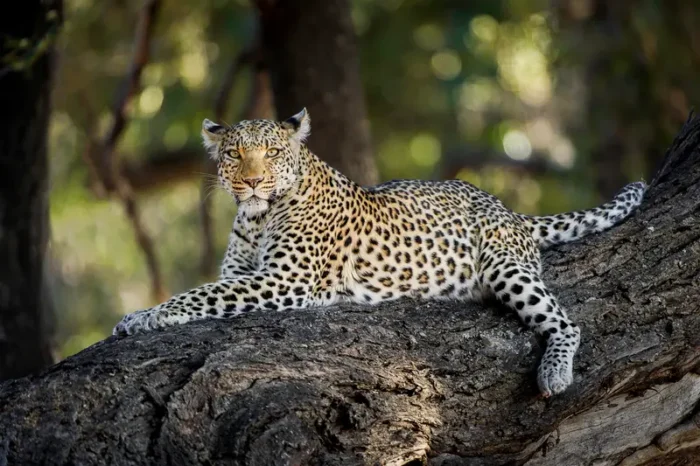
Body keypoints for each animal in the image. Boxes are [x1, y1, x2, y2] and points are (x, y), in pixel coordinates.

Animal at [113, 108, 647, 397]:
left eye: (271, 153)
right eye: (233, 154)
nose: (252, 182)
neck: (257, 217)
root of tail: (508, 209)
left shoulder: (285, 281)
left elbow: (198, 295)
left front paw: (146, 317)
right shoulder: (242, 273)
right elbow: (207, 289)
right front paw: (140, 314)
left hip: (505, 264)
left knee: (566, 322)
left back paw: (554, 372)